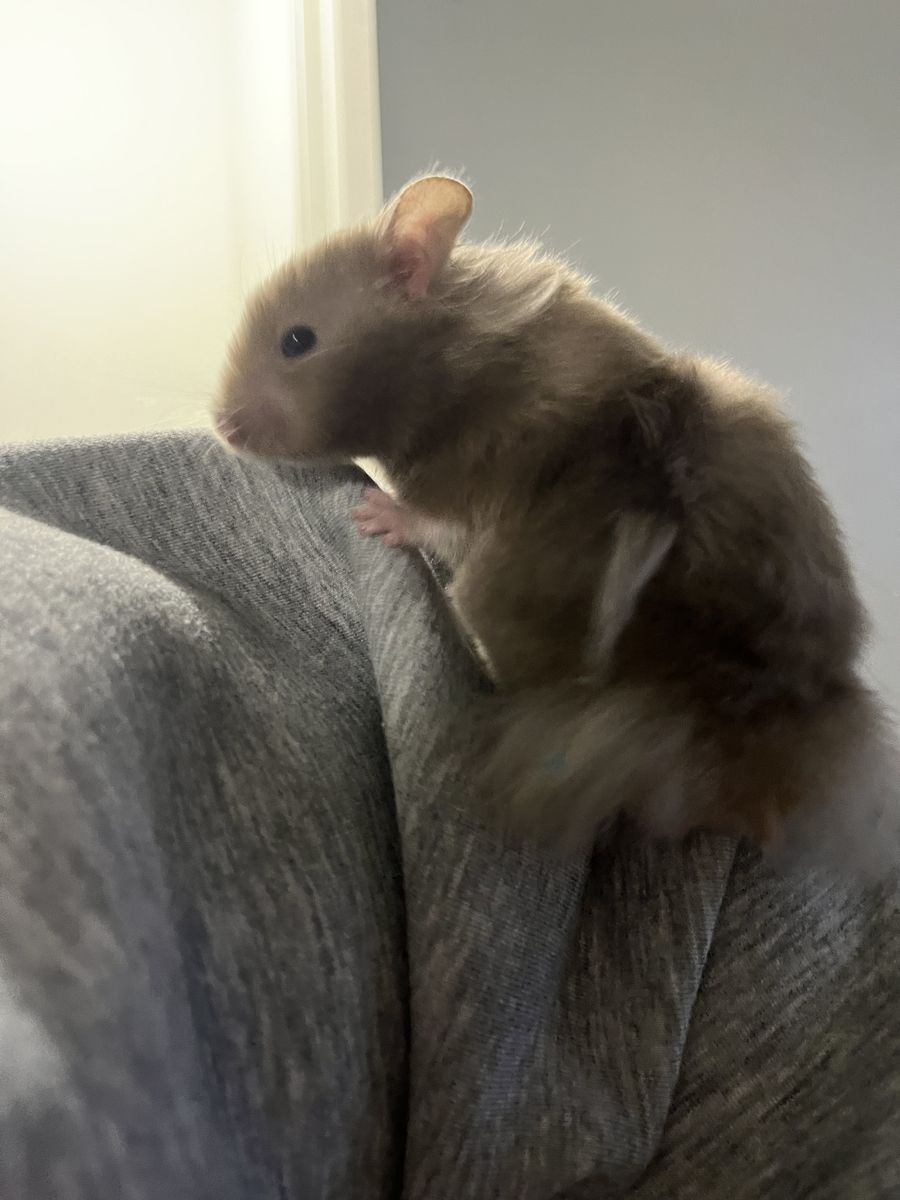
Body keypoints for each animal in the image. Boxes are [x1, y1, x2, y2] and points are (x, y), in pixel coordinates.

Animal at [214, 174, 900, 871]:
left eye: (297, 340)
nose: (222, 427)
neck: (454, 362)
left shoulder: (497, 477)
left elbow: (440, 522)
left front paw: (374, 513)